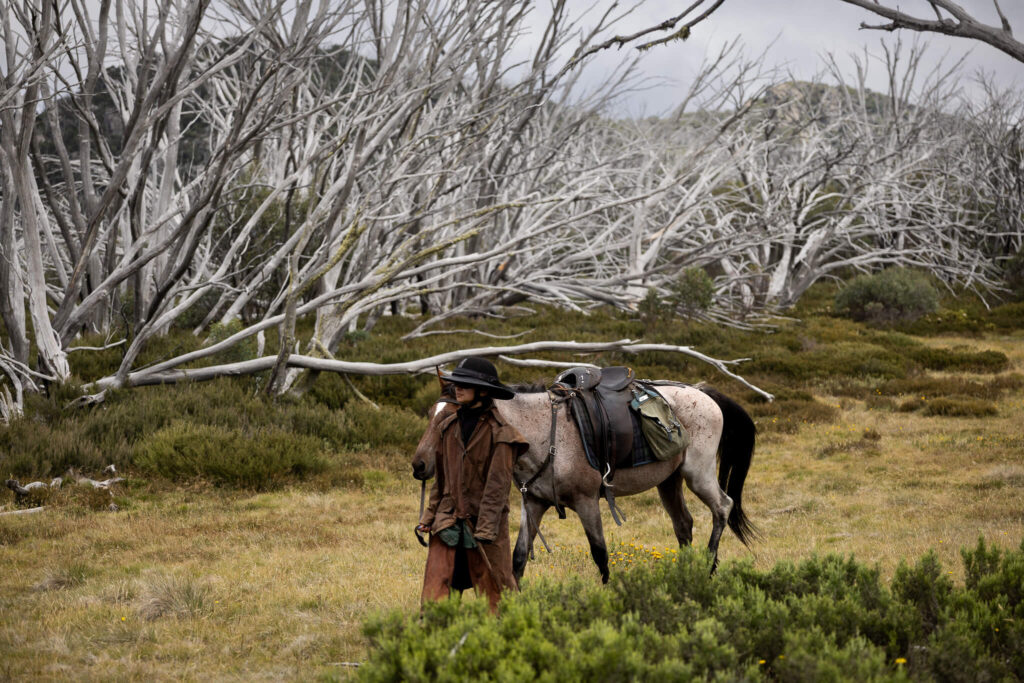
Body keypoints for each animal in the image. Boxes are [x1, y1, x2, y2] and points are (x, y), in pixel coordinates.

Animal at [411, 379, 758, 583]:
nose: (419, 465)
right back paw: (687, 573)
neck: (545, 434)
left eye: (454, 417)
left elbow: (600, 553)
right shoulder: (533, 503)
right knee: (684, 524)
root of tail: (706, 394)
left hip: (697, 474)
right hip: (669, 481)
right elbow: (519, 558)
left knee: (723, 507)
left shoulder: (587, 502)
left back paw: (709, 568)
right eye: (430, 414)